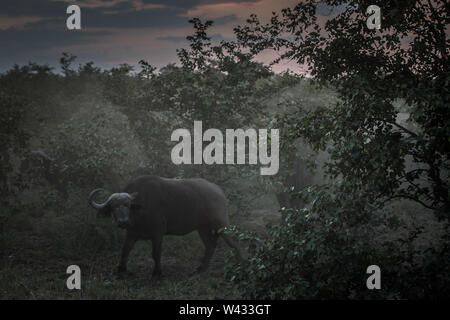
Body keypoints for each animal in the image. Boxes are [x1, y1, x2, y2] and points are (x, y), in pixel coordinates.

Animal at [89, 174, 243, 276]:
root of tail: (218, 189)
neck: (140, 211)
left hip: (221, 224)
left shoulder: (157, 233)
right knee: (210, 245)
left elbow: (156, 253)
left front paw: (157, 272)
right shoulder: (132, 233)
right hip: (203, 228)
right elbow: (125, 250)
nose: (123, 221)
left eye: (127, 205)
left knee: (234, 241)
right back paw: (200, 268)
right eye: (114, 207)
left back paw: (239, 264)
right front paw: (121, 269)